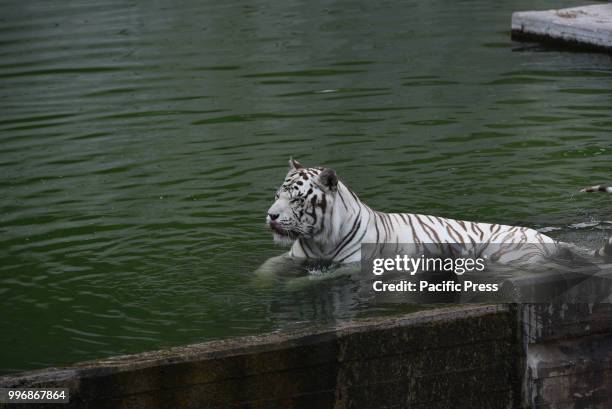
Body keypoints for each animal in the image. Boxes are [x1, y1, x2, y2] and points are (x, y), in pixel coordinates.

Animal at [268, 158, 568, 266]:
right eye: (277, 196)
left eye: (296, 200)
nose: (271, 215)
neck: (320, 240)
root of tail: (550, 239)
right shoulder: (291, 258)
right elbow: (268, 269)